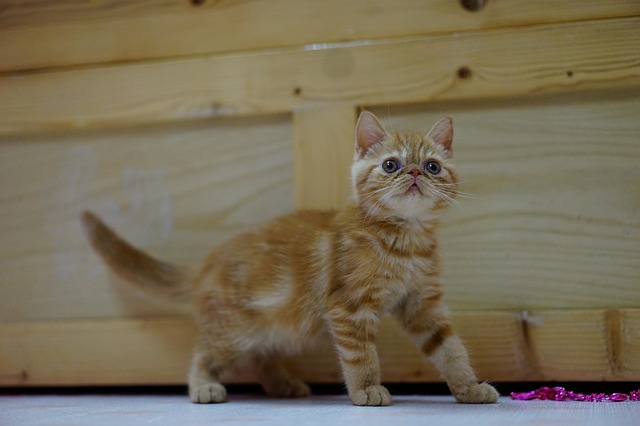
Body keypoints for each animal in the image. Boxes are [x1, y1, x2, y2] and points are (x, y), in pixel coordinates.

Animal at [81, 110, 500, 406]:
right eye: (390, 164)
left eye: (432, 166)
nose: (413, 172)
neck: (405, 241)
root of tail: (205, 264)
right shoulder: (348, 308)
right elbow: (362, 355)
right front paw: (367, 390)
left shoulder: (423, 305)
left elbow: (451, 349)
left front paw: (469, 388)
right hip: (234, 331)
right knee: (204, 351)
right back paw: (204, 385)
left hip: (275, 326)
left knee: (262, 357)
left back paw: (282, 384)